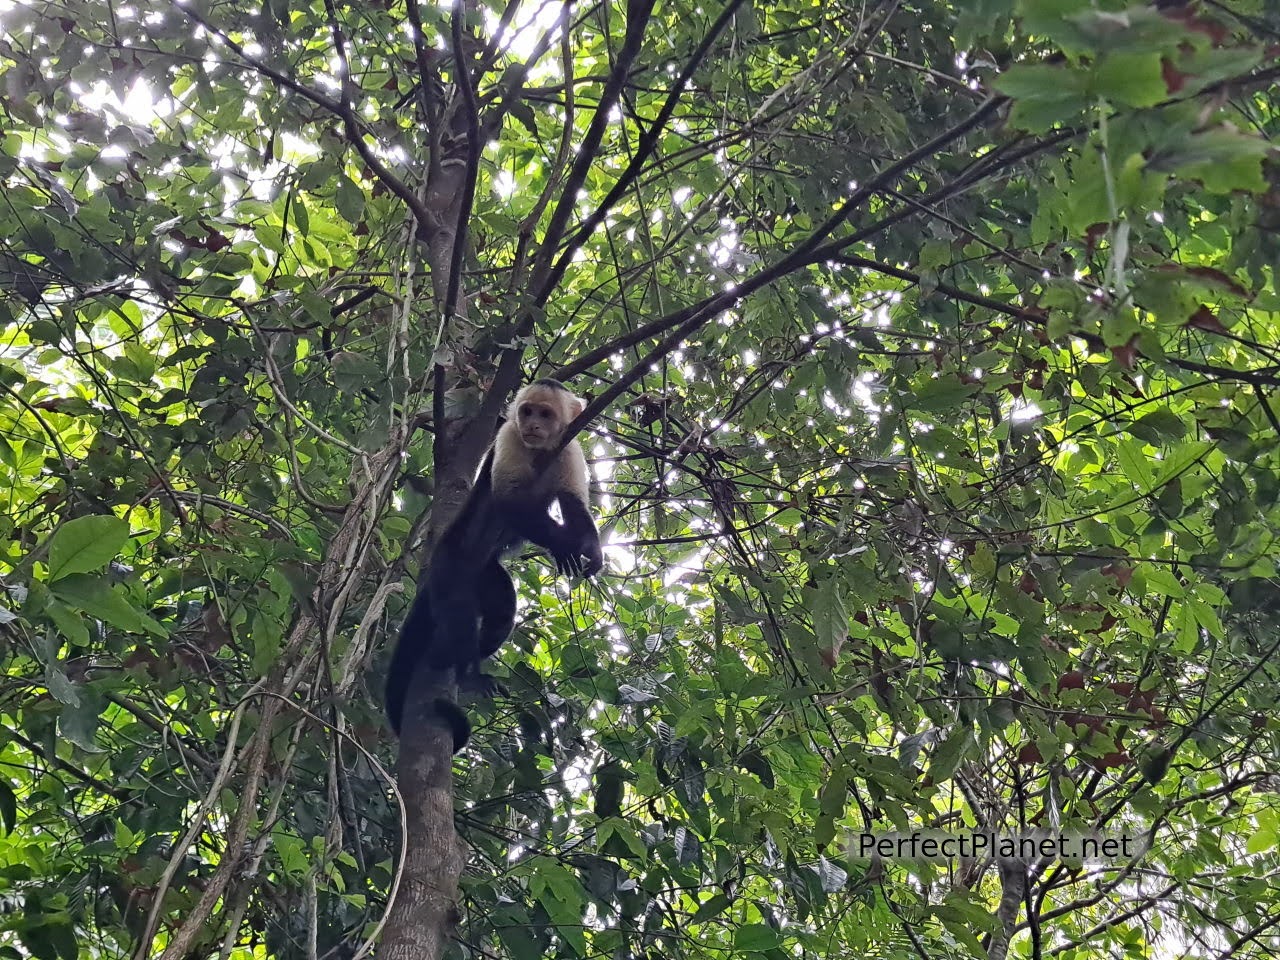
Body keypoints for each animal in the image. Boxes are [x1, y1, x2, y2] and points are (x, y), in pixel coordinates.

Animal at [384, 378, 604, 747]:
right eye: (527, 411)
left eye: (545, 415)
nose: (532, 426)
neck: (540, 450)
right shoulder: (508, 436)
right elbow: (509, 501)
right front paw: (563, 546)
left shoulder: (569, 447)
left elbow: (573, 503)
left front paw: (593, 550)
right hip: (450, 569)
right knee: (458, 617)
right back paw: (467, 673)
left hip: (486, 574)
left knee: (501, 615)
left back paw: (461, 662)